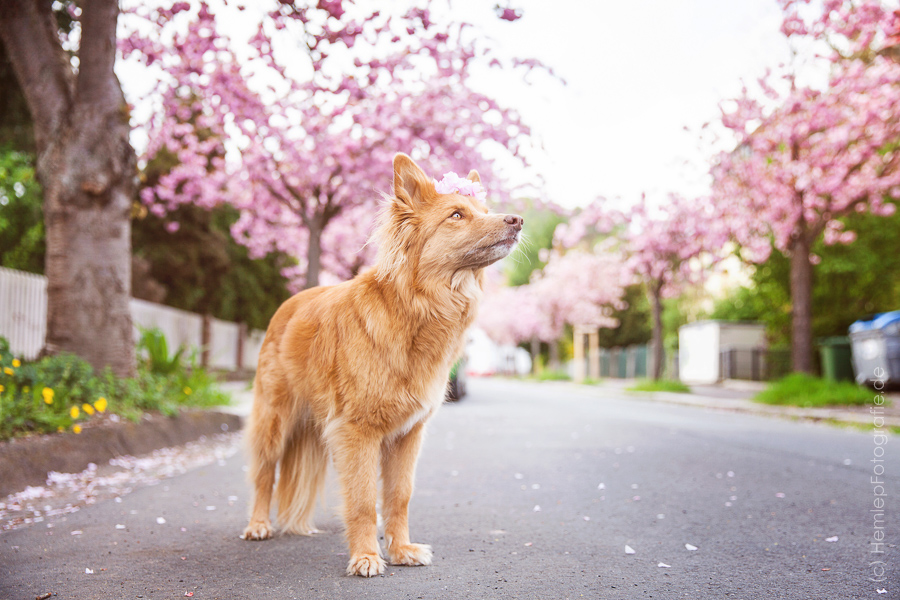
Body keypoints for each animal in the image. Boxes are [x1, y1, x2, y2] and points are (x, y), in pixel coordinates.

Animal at [243, 151, 524, 576]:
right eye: (457, 215)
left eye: (485, 211)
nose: (517, 220)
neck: (418, 309)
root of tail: (288, 305)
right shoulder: (356, 432)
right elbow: (362, 500)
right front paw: (366, 557)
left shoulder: (407, 435)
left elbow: (398, 496)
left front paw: (401, 550)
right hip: (274, 420)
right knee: (263, 474)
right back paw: (258, 524)